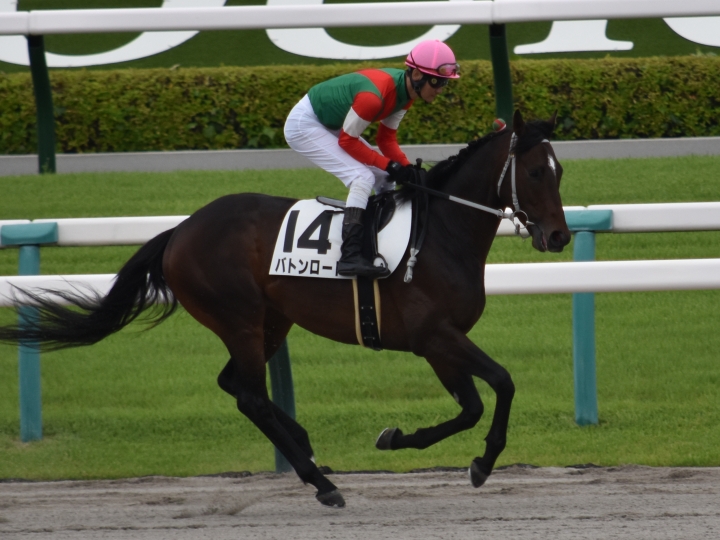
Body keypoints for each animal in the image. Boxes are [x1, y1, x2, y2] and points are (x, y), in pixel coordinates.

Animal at [0, 110, 570, 508]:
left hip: (272, 320)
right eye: (535, 172)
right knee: (250, 395)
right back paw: (321, 482)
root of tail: (179, 231)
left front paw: (399, 439)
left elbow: (470, 406)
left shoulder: (438, 343)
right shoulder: (435, 335)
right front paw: (483, 461)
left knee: (236, 385)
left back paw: (305, 447)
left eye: (560, 171)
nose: (560, 236)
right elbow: (502, 384)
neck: (440, 235)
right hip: (241, 318)